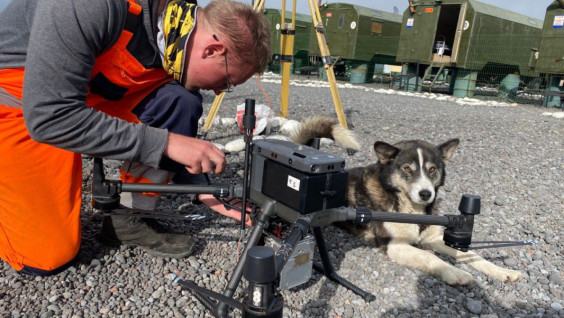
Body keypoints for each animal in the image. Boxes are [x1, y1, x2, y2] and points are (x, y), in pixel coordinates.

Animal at [294, 116, 524, 286]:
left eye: (432, 169)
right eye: (407, 169)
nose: (426, 194)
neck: (410, 207)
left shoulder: (433, 238)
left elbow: (470, 254)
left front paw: (502, 270)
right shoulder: (395, 246)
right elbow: (431, 257)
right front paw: (455, 273)